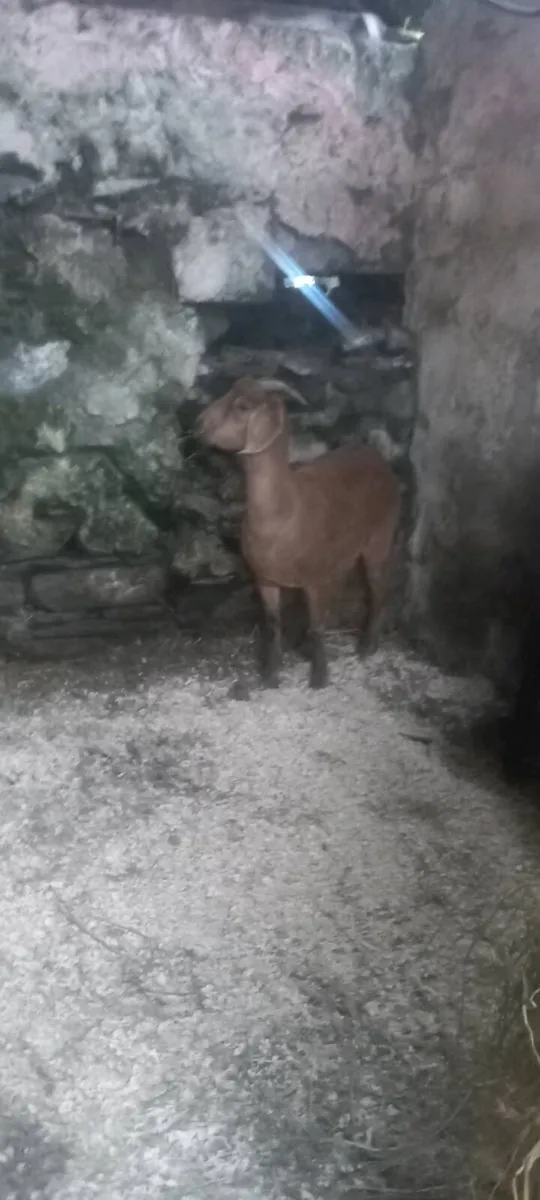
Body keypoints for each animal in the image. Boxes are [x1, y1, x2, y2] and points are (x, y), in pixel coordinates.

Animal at [196, 376, 401, 689]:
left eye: (243, 407)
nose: (198, 423)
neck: (286, 510)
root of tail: (374, 454)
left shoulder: (315, 578)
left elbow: (317, 626)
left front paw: (319, 677)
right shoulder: (266, 578)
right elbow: (272, 623)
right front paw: (271, 673)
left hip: (379, 537)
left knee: (378, 588)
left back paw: (368, 645)